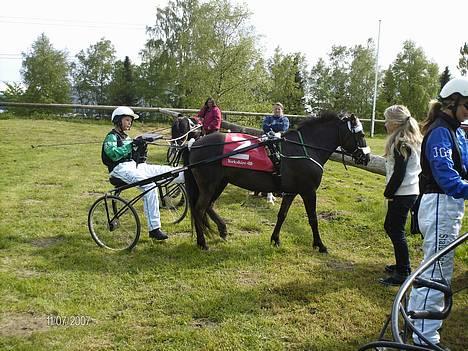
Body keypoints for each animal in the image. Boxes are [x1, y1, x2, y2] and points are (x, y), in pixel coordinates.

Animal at [177, 111, 372, 252]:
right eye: (361, 134)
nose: (367, 157)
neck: (303, 149)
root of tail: (194, 144)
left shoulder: (291, 192)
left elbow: (282, 215)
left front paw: (275, 239)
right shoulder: (308, 192)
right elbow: (313, 219)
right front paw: (320, 245)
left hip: (219, 183)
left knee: (207, 207)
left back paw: (222, 230)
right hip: (210, 185)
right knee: (199, 209)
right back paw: (202, 242)